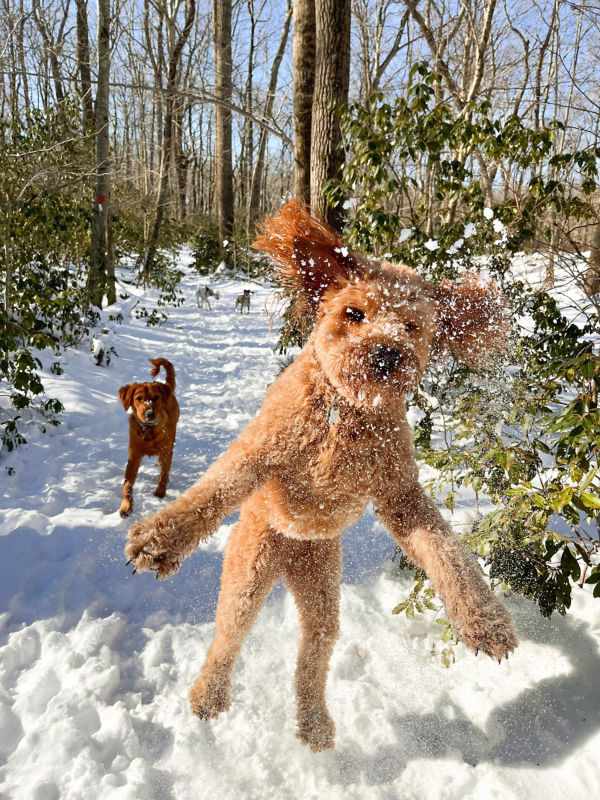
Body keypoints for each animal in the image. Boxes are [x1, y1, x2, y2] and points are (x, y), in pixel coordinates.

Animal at [118, 358, 179, 520]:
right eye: (139, 398)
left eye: (156, 397)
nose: (150, 413)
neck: (149, 430)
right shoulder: (134, 457)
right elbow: (127, 485)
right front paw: (126, 507)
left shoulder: (166, 451)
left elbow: (164, 475)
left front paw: (160, 493)